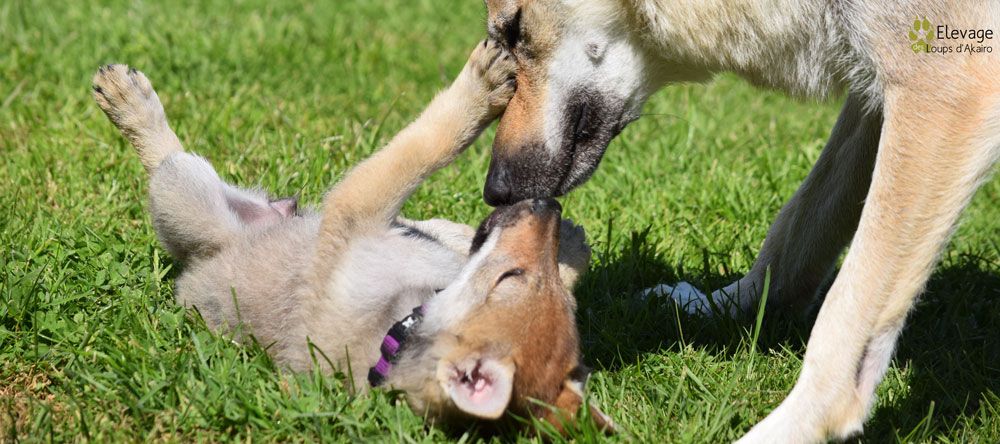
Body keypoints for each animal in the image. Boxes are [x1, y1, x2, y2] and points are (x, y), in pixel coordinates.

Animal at [91, 40, 613, 433]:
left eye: (510, 279)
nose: (548, 206)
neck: (394, 330)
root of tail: (189, 271)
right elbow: (425, 160)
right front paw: (569, 246)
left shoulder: (355, 208)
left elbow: (422, 144)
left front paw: (480, 89)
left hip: (186, 188)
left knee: (166, 158)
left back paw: (127, 102)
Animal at [478, 0, 999, 441]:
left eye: (514, 29)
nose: (493, 191)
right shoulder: (878, 93)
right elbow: (800, 223)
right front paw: (724, 305)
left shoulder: (943, 84)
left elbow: (846, 310)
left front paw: (792, 425)